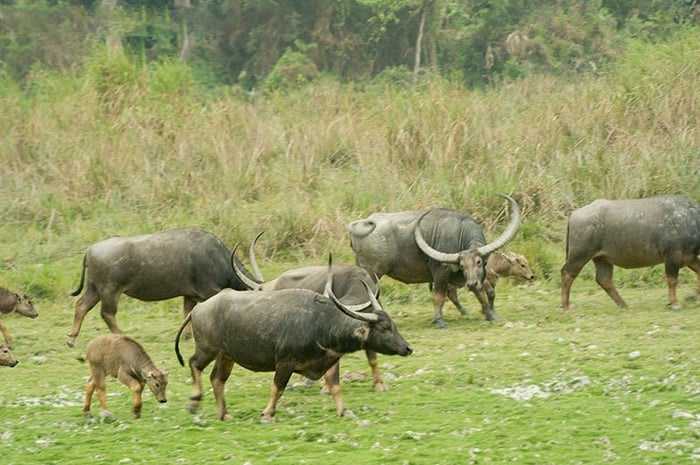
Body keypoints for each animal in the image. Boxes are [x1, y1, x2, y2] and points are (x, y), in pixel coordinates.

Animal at [66, 227, 254, 346]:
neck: (216, 258)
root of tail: (91, 250)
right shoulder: (210, 291)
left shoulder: (189, 295)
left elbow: (188, 312)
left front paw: (186, 336)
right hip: (109, 290)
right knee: (107, 313)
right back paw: (121, 335)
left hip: (94, 288)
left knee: (81, 305)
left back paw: (71, 339)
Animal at [175, 270, 412, 422]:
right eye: (384, 327)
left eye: (393, 324)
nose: (407, 348)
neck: (322, 324)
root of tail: (199, 309)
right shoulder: (285, 362)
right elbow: (277, 388)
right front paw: (268, 414)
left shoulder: (330, 360)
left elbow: (335, 386)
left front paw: (345, 411)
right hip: (207, 349)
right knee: (194, 364)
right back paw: (194, 402)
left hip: (226, 356)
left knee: (217, 379)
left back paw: (224, 414)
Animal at [346, 194, 520, 328]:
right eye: (462, 265)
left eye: (479, 262)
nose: (470, 283)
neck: (460, 233)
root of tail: (360, 224)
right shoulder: (440, 273)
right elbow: (439, 296)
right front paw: (439, 321)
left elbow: (483, 293)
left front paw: (491, 315)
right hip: (372, 272)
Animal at [560, 194, 700, 310]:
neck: (691, 220)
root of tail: (574, 214)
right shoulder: (672, 256)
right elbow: (672, 280)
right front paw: (675, 303)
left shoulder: (690, 257)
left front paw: (692, 296)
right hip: (579, 255)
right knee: (567, 273)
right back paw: (566, 307)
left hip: (602, 259)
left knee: (604, 279)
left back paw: (623, 304)